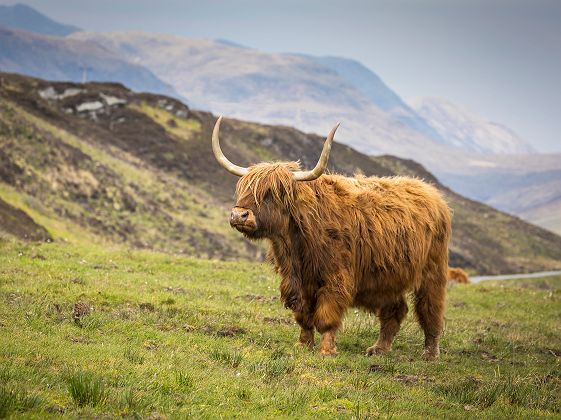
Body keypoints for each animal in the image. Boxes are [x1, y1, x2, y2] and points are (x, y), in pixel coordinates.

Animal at [212, 116, 452, 360]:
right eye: (243, 188)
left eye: (273, 192)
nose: (239, 215)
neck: (294, 244)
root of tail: (433, 195)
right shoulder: (299, 282)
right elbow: (303, 316)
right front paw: (303, 344)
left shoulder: (335, 278)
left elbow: (327, 316)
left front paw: (326, 350)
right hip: (389, 276)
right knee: (395, 309)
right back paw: (379, 349)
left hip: (432, 271)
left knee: (431, 310)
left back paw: (430, 354)